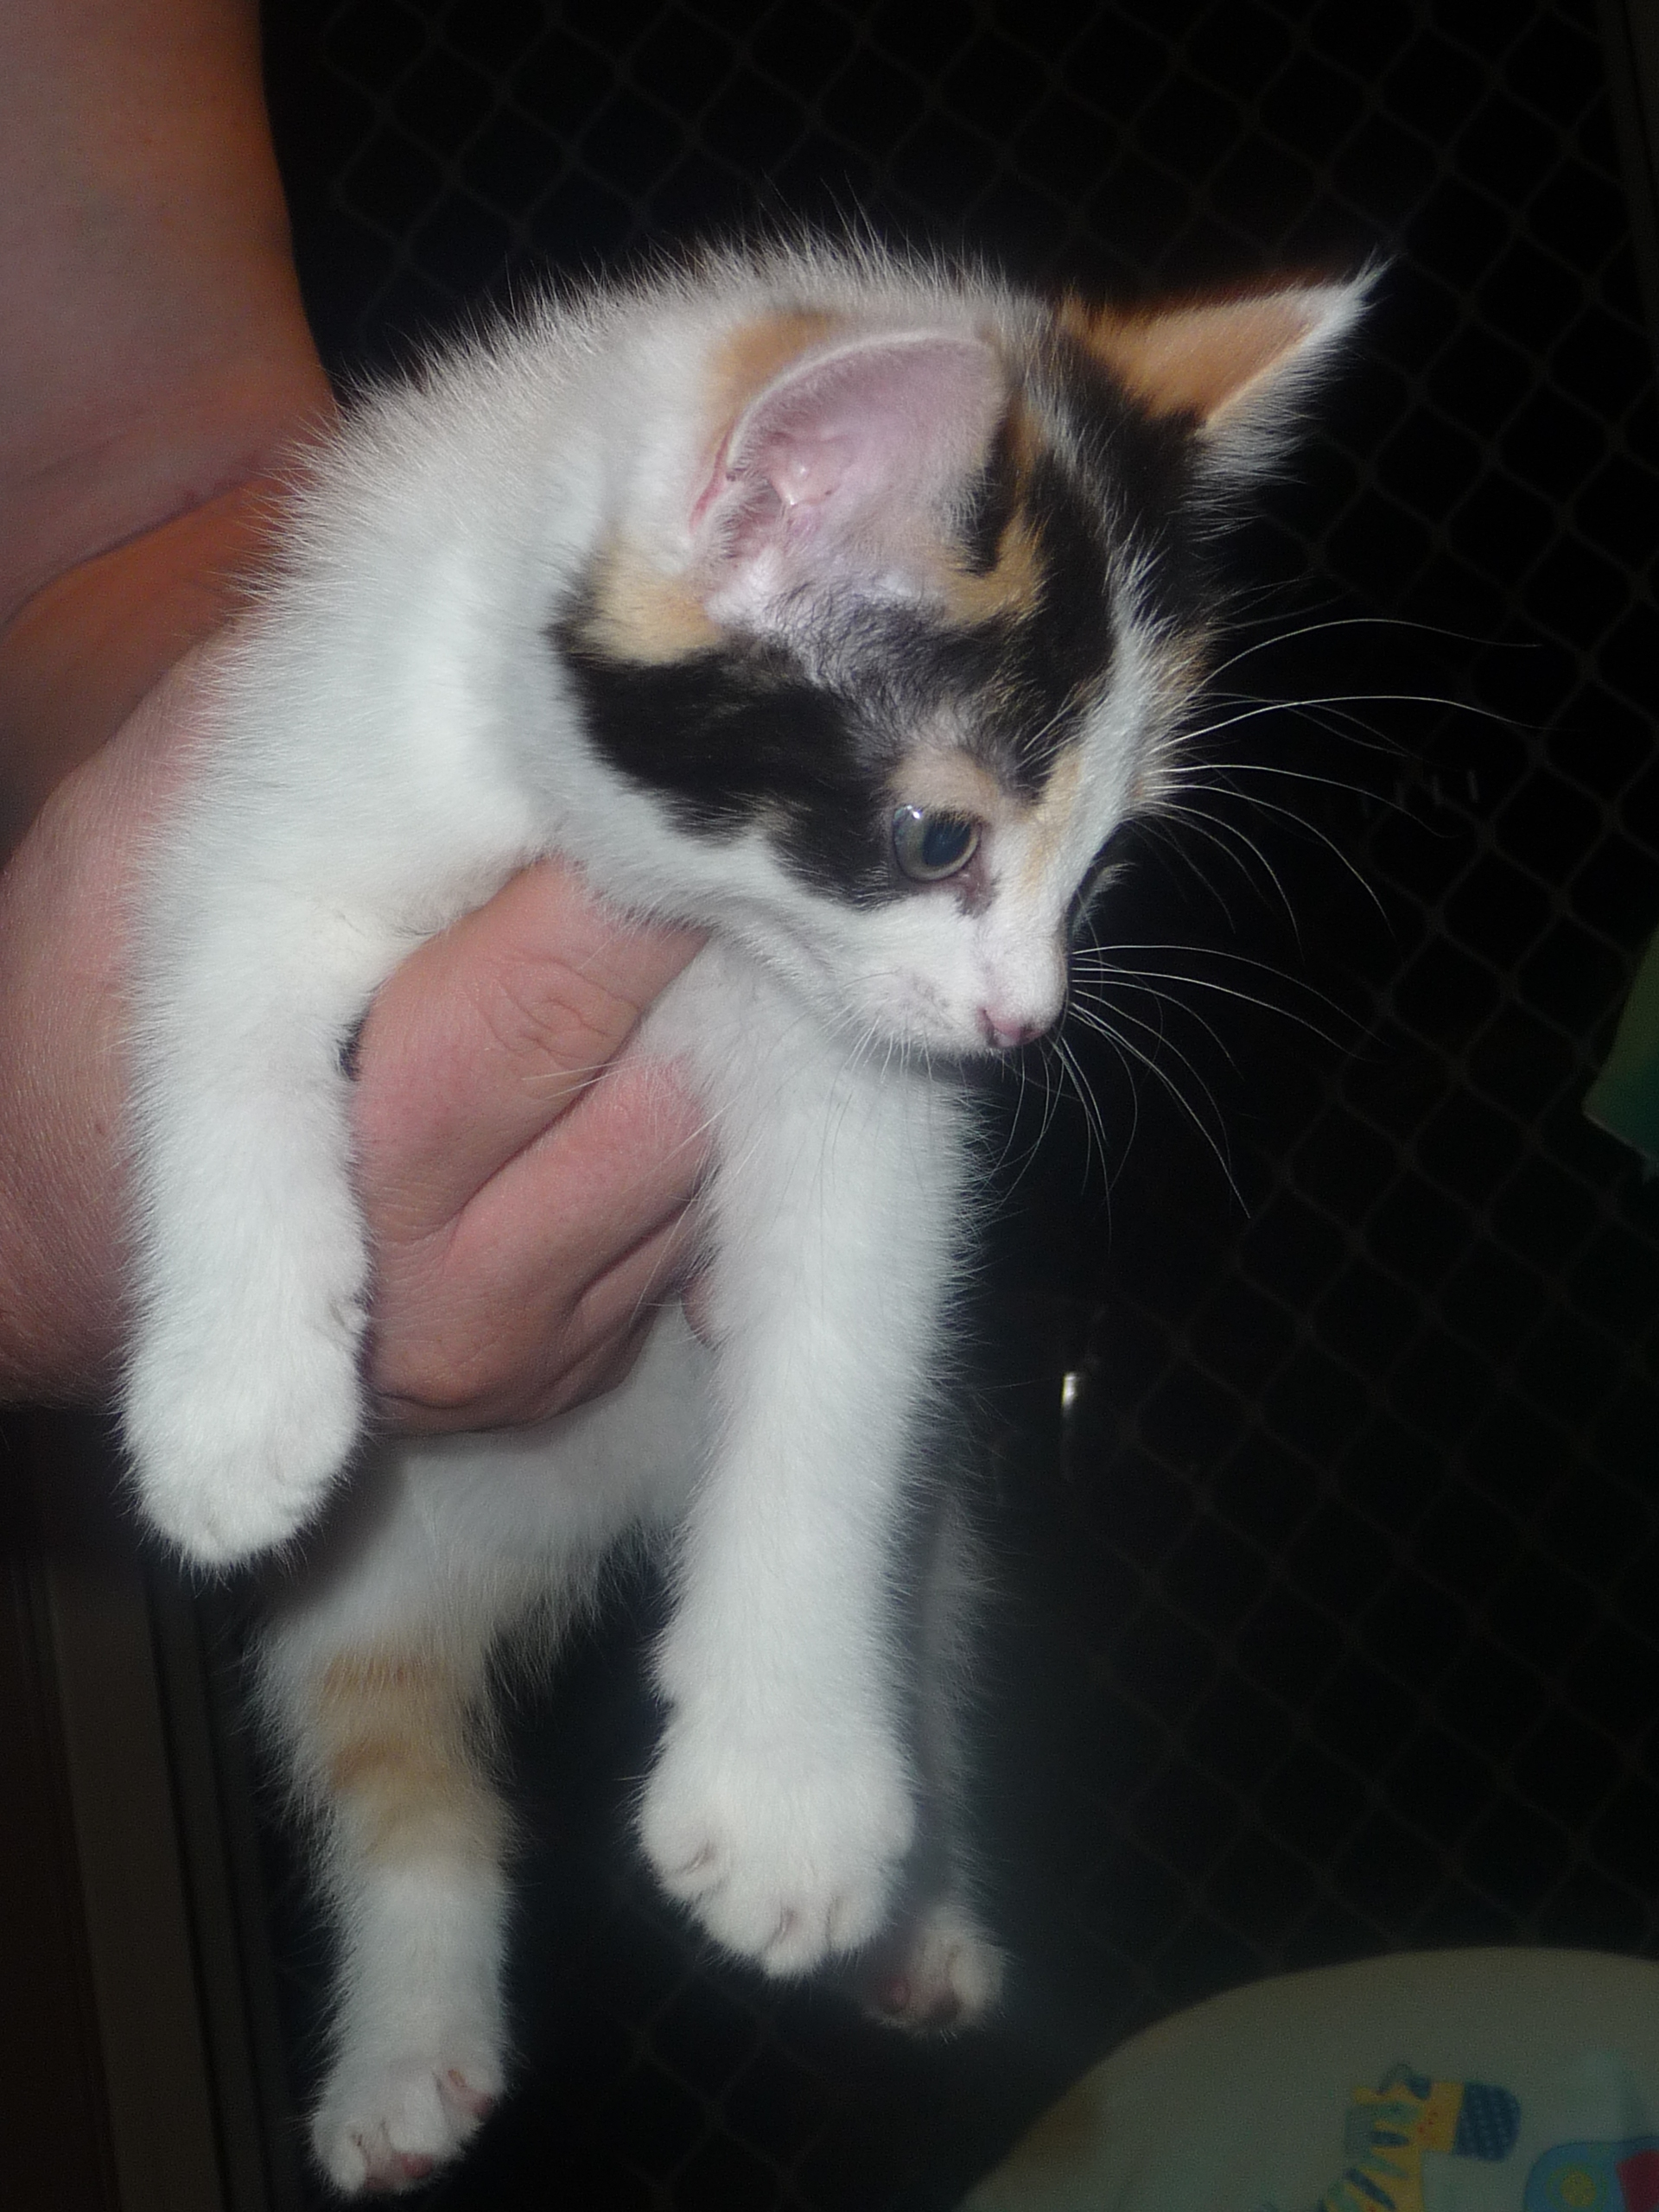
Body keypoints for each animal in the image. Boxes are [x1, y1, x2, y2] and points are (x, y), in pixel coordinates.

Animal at [121, 239, 1364, 2194]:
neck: (665, 897)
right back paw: (408, 2047)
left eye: (1105, 864)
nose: (1025, 1024)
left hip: (934, 1534)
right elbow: (222, 997)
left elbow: (849, 1346)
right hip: (376, 1561)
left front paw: (785, 1790)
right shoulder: (308, 774)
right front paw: (232, 1407)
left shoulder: (872, 1108)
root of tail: (594, 1524)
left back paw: (920, 1916)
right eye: (937, 839)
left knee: (926, 1633)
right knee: (381, 1726)